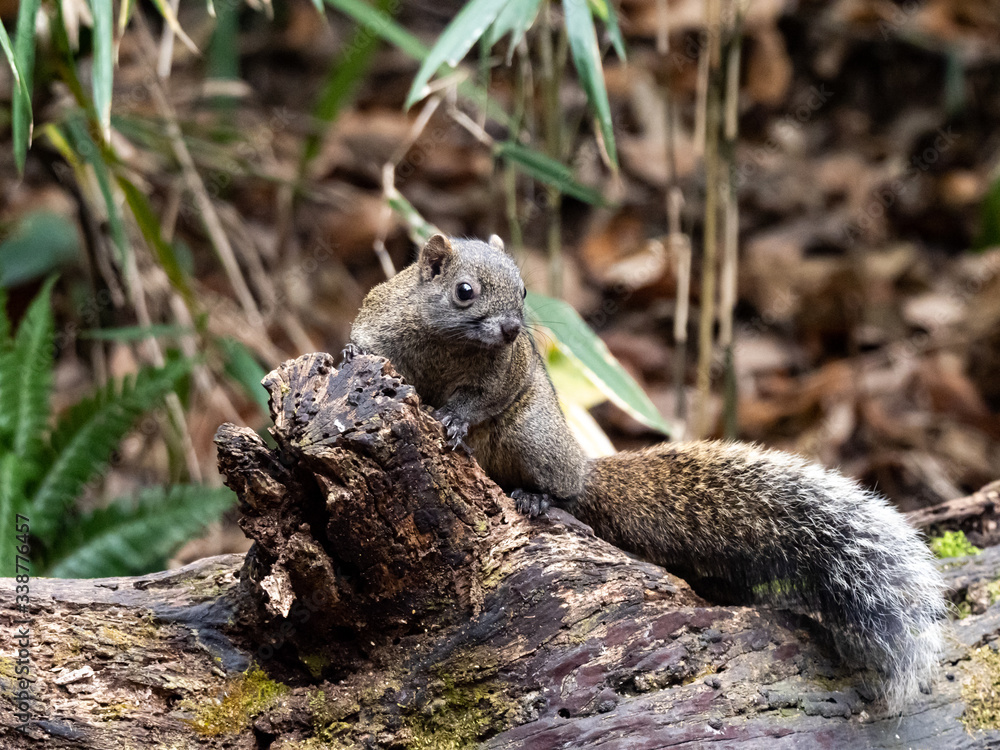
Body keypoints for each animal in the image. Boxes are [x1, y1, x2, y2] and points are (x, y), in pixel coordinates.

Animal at [348, 233, 947, 712]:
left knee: (566, 490)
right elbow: (365, 346)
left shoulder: (503, 373)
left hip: (534, 436)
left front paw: (453, 418)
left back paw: (540, 499)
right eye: (464, 291)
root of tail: (581, 463)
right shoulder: (381, 322)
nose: (515, 328)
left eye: (523, 293)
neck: (446, 344)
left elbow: (480, 399)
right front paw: (349, 361)